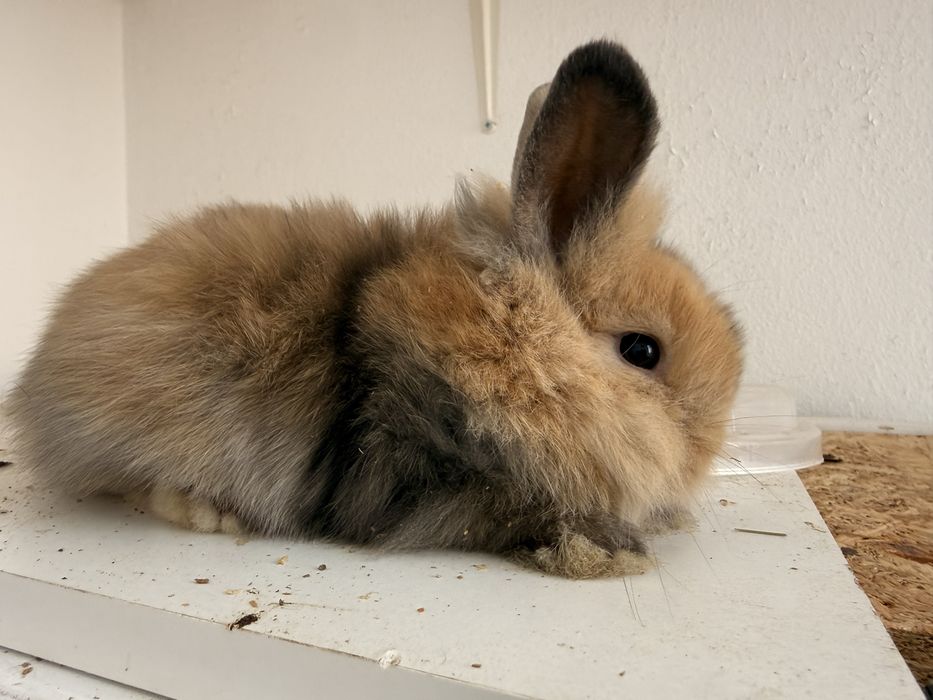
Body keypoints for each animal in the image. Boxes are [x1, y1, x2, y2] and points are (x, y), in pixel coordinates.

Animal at [7, 40, 742, 579]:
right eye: (642, 350)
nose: (705, 453)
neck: (510, 351)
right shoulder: (428, 478)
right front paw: (615, 547)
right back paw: (209, 511)